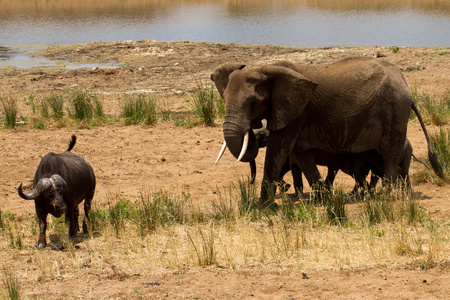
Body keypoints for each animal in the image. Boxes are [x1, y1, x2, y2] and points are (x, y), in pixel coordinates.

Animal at [211, 56, 442, 206]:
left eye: (253, 102)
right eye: (224, 100)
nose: (252, 128)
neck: (266, 70)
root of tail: (405, 83)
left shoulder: (298, 111)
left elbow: (278, 148)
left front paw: (263, 206)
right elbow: (300, 152)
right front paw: (323, 199)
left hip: (394, 111)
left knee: (389, 155)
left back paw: (389, 197)